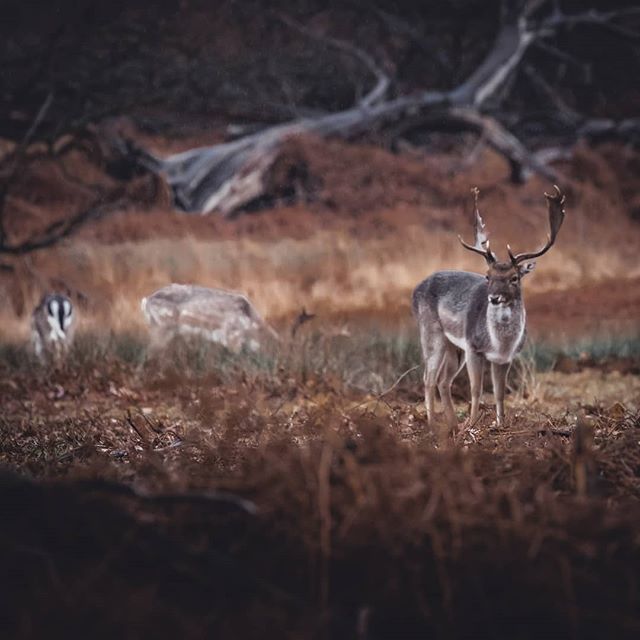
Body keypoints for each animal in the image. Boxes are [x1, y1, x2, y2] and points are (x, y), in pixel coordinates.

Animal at [412, 185, 566, 431]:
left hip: (454, 347)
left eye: (514, 278)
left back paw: (452, 424)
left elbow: (499, 393)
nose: (493, 298)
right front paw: (473, 424)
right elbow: (476, 390)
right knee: (428, 378)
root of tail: (414, 290)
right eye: (488, 276)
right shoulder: (473, 347)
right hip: (431, 331)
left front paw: (500, 424)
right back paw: (433, 424)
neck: (500, 343)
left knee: (444, 380)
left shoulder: (504, 358)